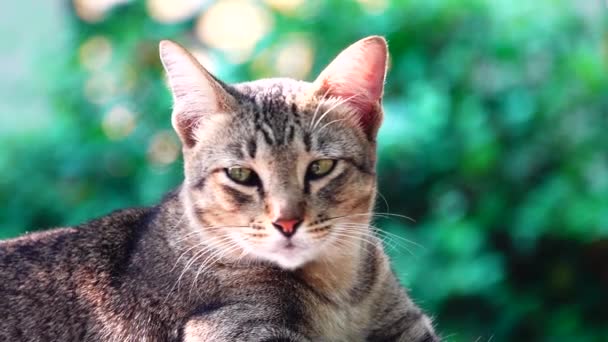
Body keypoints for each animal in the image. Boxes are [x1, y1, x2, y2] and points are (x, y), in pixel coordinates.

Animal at [0, 36, 436, 340]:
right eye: (241, 174)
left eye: (320, 167)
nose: (287, 223)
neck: (341, 292)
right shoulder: (237, 327)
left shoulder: (406, 325)